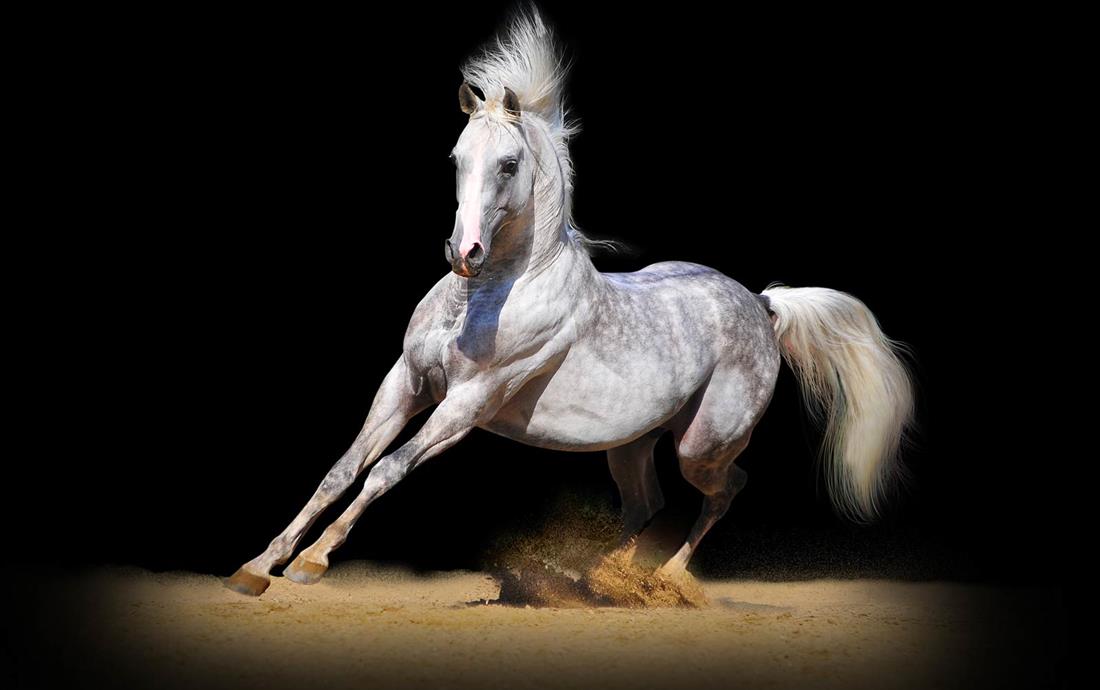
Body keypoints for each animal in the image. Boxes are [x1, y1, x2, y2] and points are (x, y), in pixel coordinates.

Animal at [225, 8, 915, 597]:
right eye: (455, 158)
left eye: (508, 164)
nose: (463, 253)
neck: (483, 298)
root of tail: (760, 304)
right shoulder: (407, 382)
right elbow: (342, 469)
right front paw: (257, 568)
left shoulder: (467, 402)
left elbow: (387, 470)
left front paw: (314, 563)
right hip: (631, 443)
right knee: (647, 504)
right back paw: (602, 578)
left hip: (702, 443)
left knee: (725, 489)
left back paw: (664, 579)